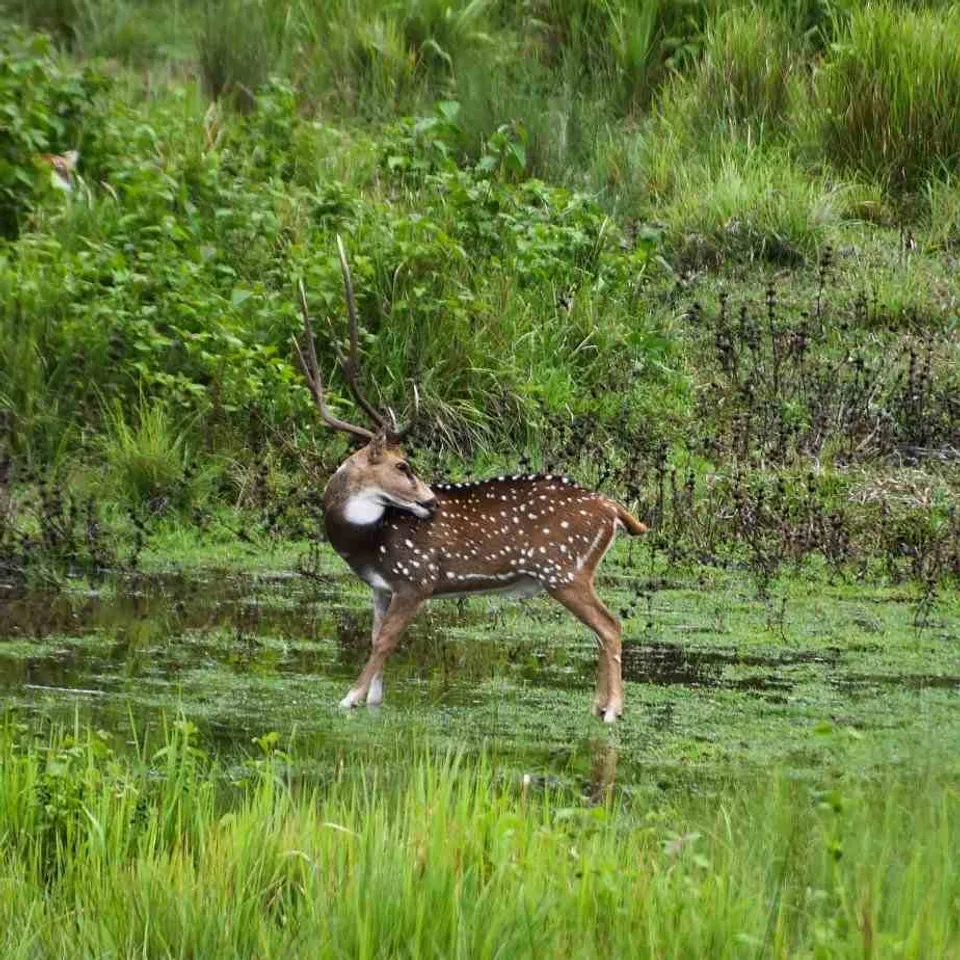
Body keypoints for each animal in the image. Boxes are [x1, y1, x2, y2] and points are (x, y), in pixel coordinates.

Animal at [296, 238, 648, 720]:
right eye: (403, 466)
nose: (431, 501)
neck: (366, 541)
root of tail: (613, 509)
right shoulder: (380, 587)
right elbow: (374, 638)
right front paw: (372, 700)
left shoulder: (417, 578)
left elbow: (385, 641)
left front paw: (349, 698)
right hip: (570, 571)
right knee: (602, 629)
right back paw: (598, 706)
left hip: (562, 568)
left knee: (610, 625)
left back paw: (612, 711)